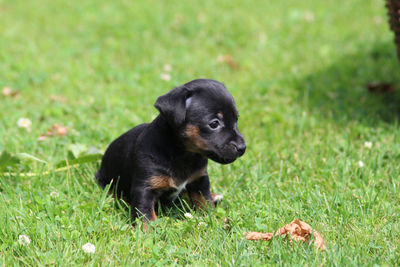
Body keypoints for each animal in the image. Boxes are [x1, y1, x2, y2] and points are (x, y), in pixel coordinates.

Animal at [96, 79, 245, 224]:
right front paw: (149, 230)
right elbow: (145, 214)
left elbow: (204, 200)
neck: (182, 154)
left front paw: (211, 218)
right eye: (214, 124)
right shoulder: (145, 188)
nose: (242, 148)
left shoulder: (199, 179)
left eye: (236, 119)